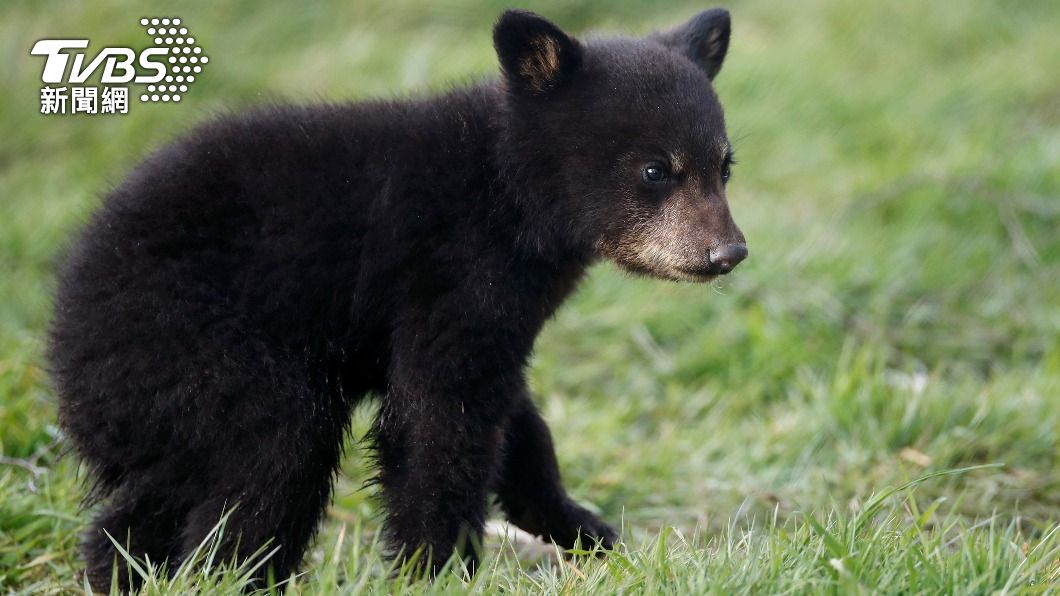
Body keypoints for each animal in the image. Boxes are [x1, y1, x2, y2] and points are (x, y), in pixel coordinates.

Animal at [48, 7, 747, 590]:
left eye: (723, 167)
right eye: (656, 170)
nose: (729, 252)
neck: (508, 194)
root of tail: (60, 348)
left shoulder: (494, 311)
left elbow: (512, 417)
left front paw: (581, 526)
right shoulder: (451, 274)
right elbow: (437, 420)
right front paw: (436, 570)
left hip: (157, 410)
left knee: (151, 495)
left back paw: (118, 565)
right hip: (185, 349)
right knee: (276, 450)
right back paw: (230, 573)